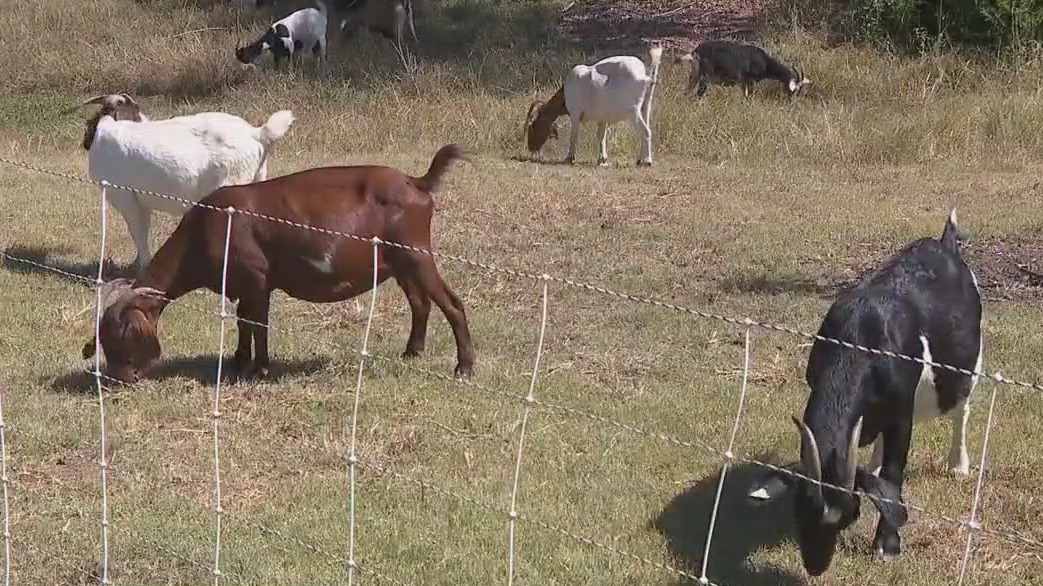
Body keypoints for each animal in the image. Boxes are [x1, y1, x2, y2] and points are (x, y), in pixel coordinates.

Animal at [69, 93, 295, 273]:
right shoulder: (141, 200)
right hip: (257, 180)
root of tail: (257, 134)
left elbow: (138, 231)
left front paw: (143, 268)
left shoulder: (125, 197)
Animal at [81, 144, 476, 383]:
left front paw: (260, 368)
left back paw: (464, 367)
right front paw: (239, 362)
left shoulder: (256, 278)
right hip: (399, 263)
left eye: (120, 336)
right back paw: (412, 352)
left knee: (452, 303)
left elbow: (256, 322)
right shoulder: (243, 284)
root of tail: (416, 182)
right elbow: (243, 321)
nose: (119, 380)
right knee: (420, 302)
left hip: (416, 252)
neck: (206, 229)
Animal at [525, 46, 663, 167]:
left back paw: (647, 161)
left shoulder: (575, 113)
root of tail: (645, 75)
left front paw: (569, 158)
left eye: (533, 126)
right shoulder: (603, 118)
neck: (566, 92)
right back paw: (639, 160)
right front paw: (602, 159)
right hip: (644, 107)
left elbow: (574, 135)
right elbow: (601, 136)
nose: (531, 147)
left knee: (645, 131)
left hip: (632, 111)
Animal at [679, 39, 809, 98]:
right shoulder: (749, 80)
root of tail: (696, 51)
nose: (792, 102)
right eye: (796, 90)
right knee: (699, 93)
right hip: (705, 77)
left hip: (695, 74)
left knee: (688, 90)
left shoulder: (744, 82)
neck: (764, 61)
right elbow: (749, 96)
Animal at [746, 210, 983, 576]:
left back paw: (958, 464)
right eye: (798, 512)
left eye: (851, 515)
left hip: (969, 364)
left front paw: (888, 544)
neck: (860, 340)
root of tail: (945, 243)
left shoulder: (901, 413)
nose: (815, 567)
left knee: (962, 408)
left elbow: (893, 475)